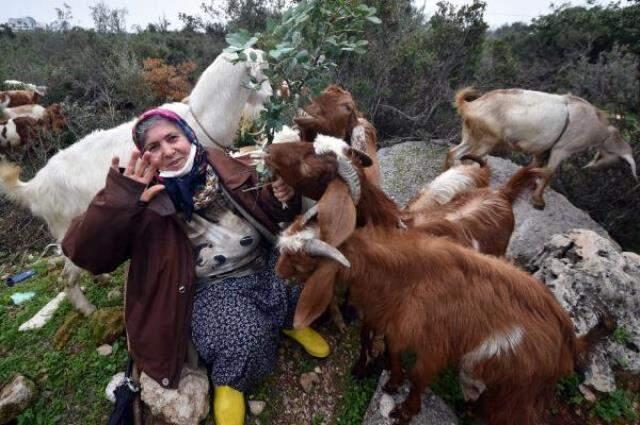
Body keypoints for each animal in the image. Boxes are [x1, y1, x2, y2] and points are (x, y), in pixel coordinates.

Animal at [0, 48, 272, 314]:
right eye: (264, 69)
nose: (270, 98)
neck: (200, 119)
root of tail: (35, 187)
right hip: (67, 229)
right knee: (68, 275)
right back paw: (88, 309)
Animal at [448, 87, 636, 209]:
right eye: (617, 157)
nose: (590, 168)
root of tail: (470, 106)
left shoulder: (541, 149)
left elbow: (535, 167)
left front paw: (530, 184)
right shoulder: (561, 149)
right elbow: (549, 172)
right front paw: (538, 200)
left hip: (471, 135)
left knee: (454, 153)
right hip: (486, 140)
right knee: (471, 159)